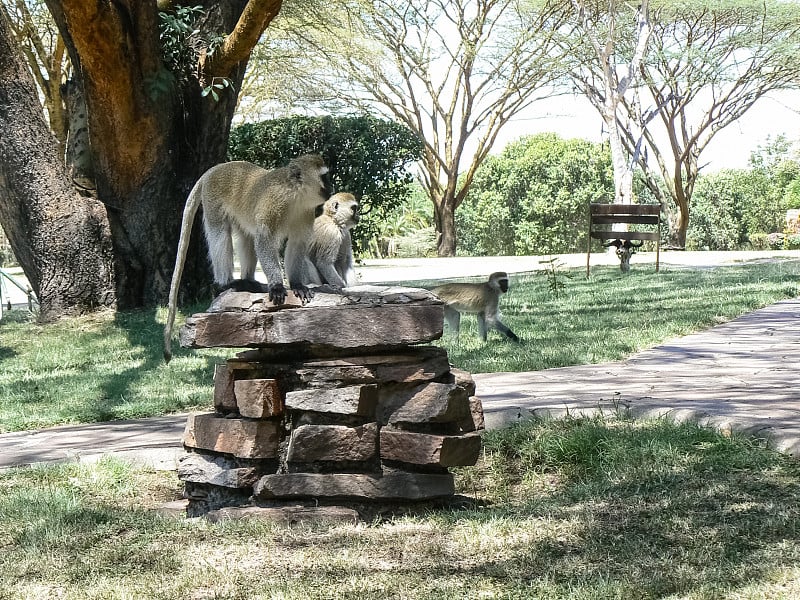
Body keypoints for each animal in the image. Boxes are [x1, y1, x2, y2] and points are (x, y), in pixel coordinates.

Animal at [163, 154, 332, 360]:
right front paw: (277, 286)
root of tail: (215, 169)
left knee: (246, 237)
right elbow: (264, 239)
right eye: (324, 177)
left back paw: (250, 282)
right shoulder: (273, 204)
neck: (295, 196)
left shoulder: (305, 213)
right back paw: (227, 283)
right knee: (221, 234)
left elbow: (297, 244)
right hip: (212, 200)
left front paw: (297, 285)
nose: (331, 186)